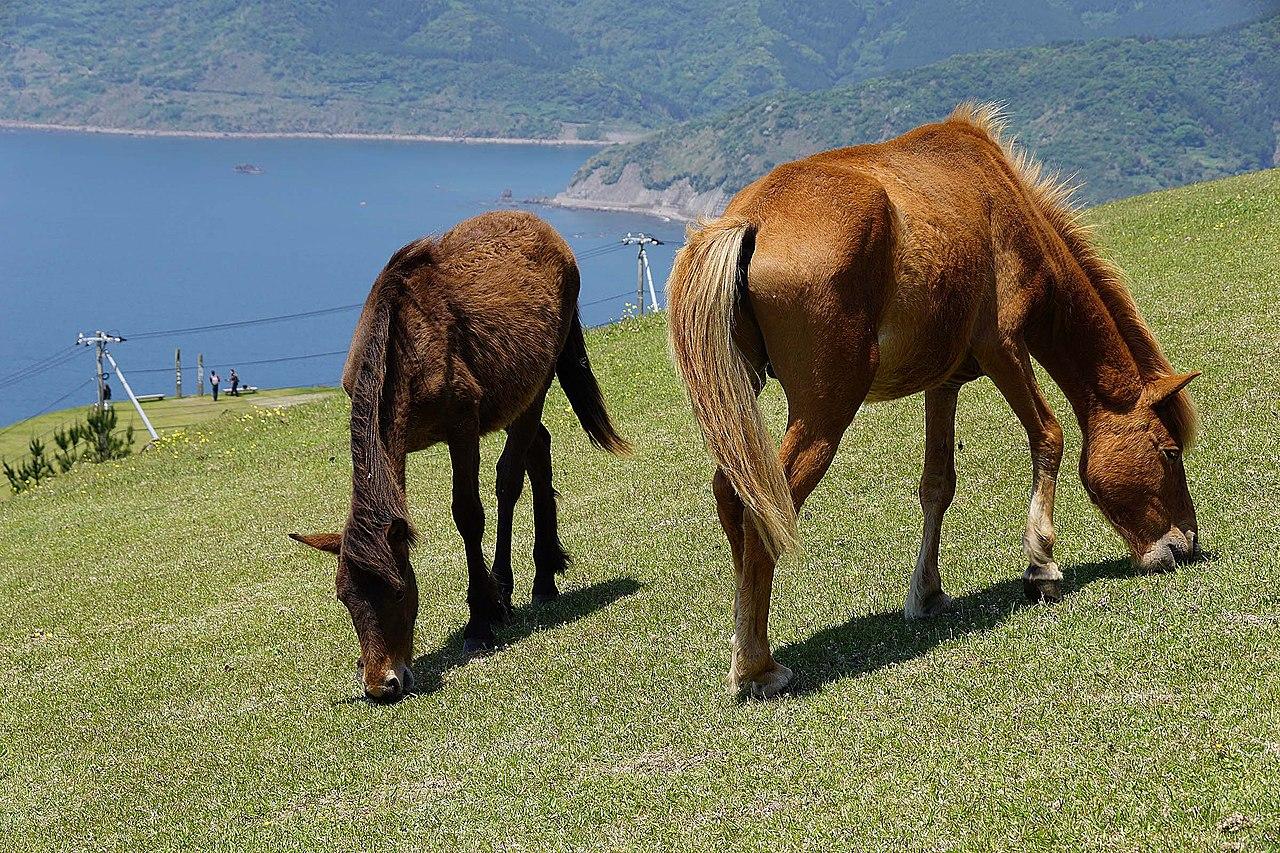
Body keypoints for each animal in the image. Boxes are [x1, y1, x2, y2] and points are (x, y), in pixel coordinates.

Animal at [291, 211, 629, 696]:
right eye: (344, 597)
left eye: (398, 590)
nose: (382, 685)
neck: (403, 347)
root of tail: (547, 229)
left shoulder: (462, 425)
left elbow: (469, 512)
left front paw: (480, 621)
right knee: (539, 448)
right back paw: (539, 573)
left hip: (540, 375)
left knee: (511, 476)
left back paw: (521, 583)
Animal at [670, 103, 1198, 696]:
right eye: (1169, 452)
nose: (1185, 545)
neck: (1002, 197)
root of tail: (750, 220)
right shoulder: (1003, 348)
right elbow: (1049, 436)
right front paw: (1041, 564)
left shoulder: (944, 383)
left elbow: (937, 486)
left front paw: (927, 592)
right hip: (826, 409)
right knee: (764, 510)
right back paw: (758, 666)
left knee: (731, 495)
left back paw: (745, 640)